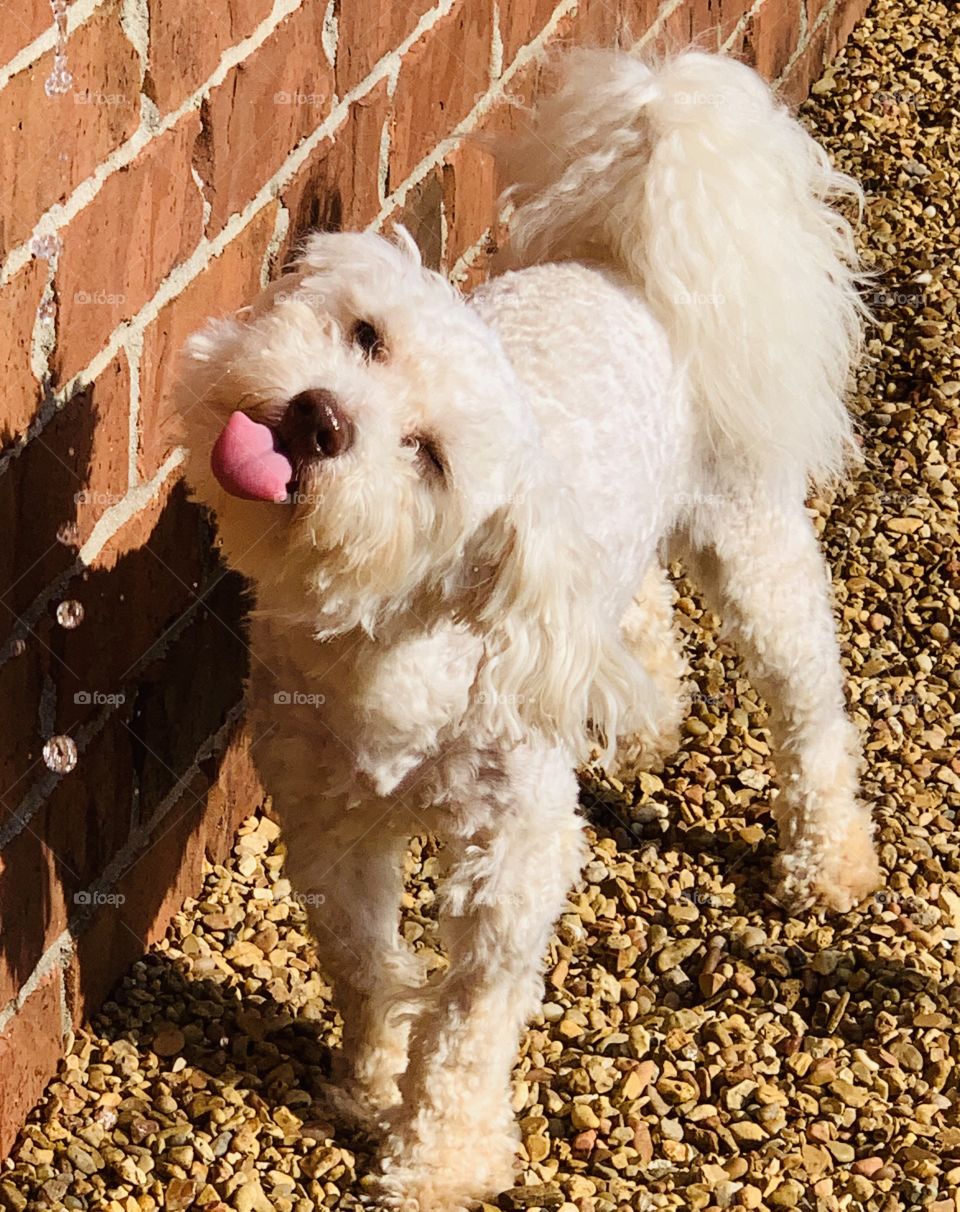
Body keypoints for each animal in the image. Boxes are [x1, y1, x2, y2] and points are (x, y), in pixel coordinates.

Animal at [175, 49, 882, 1212]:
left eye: (428, 458)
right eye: (365, 336)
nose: (320, 418)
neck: (393, 651)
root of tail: (624, 274)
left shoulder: (511, 856)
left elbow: (472, 1022)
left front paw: (439, 1155)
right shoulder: (322, 819)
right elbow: (361, 960)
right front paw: (372, 1074)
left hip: (750, 540)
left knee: (807, 696)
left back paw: (829, 854)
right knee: (641, 609)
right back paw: (643, 709)